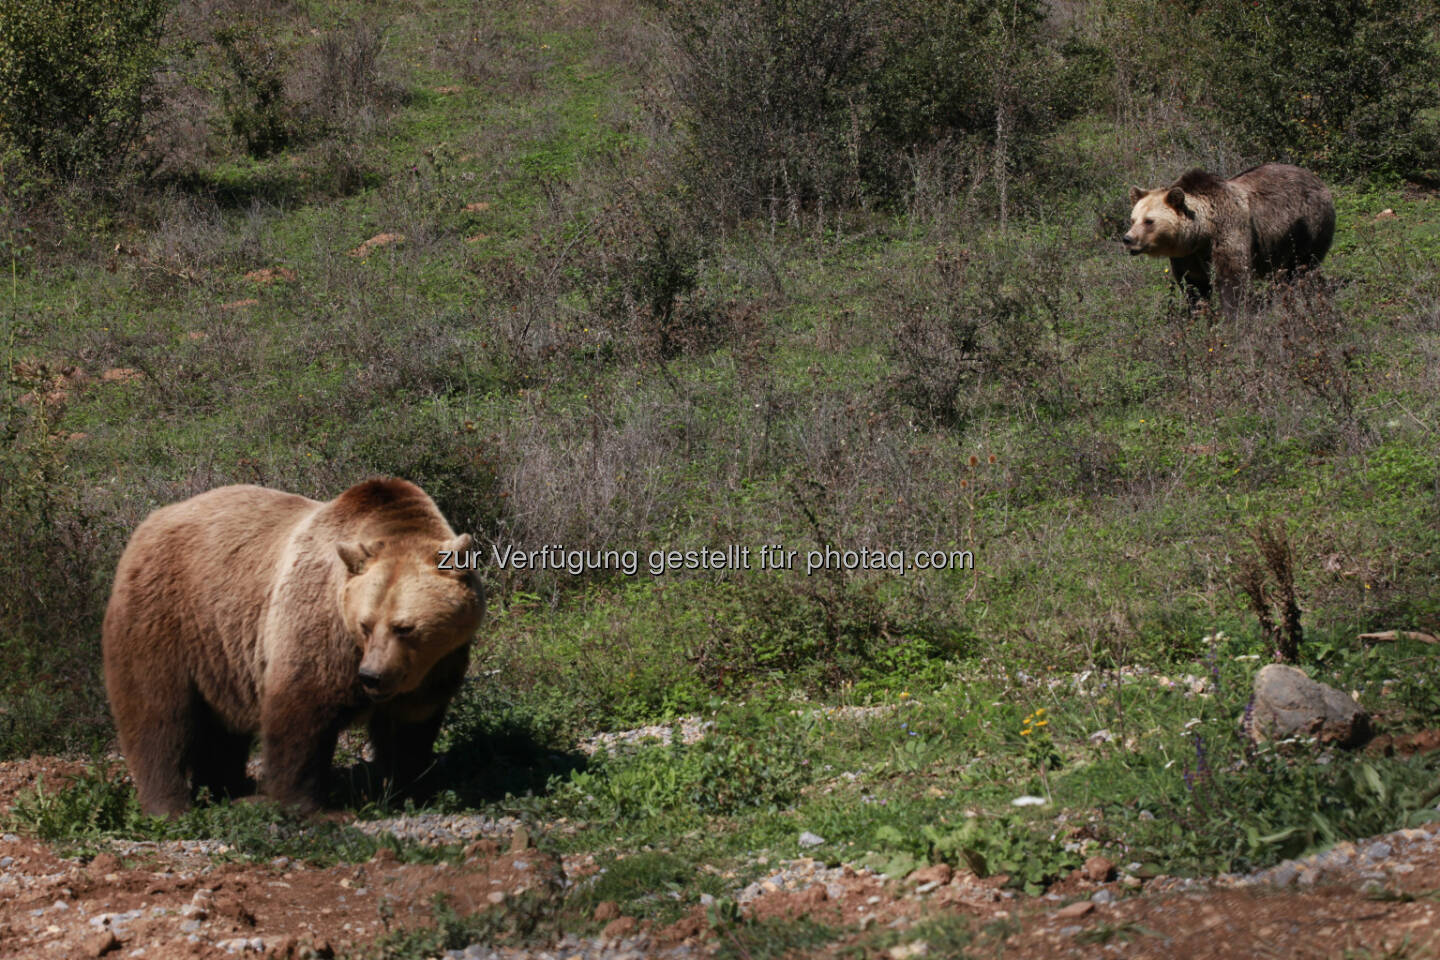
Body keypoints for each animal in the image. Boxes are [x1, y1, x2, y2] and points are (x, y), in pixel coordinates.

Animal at [101, 477, 486, 817]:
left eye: (404, 627)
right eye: (365, 624)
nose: (372, 676)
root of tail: (148, 523)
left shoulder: (437, 665)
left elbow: (411, 727)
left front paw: (409, 789)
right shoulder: (319, 626)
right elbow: (301, 714)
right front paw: (307, 806)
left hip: (220, 656)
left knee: (222, 732)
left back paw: (229, 789)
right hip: (166, 618)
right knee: (159, 715)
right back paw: (170, 807)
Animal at [1123, 163, 1336, 313]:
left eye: (1149, 221)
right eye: (1133, 219)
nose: (1128, 239)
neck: (1203, 232)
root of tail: (1316, 178)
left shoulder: (1229, 231)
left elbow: (1232, 278)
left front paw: (1233, 316)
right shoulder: (1188, 255)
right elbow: (1194, 283)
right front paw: (1200, 314)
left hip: (1309, 226)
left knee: (1302, 266)